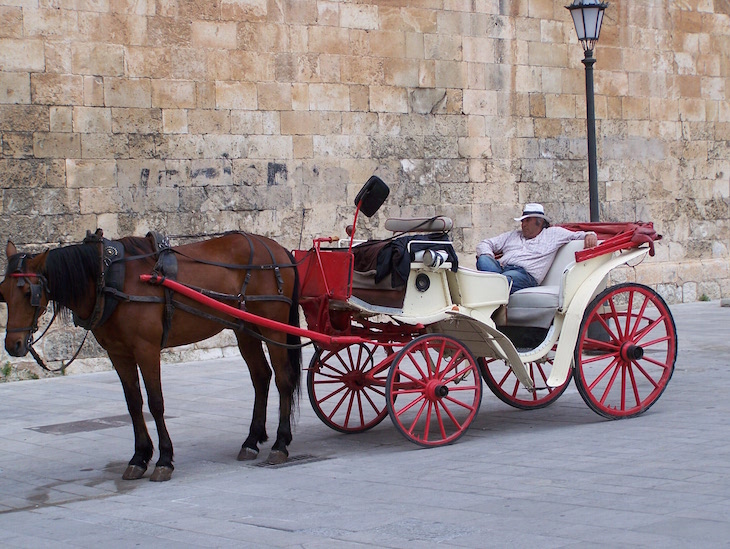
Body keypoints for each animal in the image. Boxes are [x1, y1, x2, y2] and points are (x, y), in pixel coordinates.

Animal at [0, 231, 302, 480]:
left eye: (28, 292)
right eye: (3, 292)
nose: (13, 344)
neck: (109, 278)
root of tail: (278, 249)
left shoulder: (146, 349)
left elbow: (156, 403)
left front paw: (164, 459)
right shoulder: (119, 354)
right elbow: (134, 403)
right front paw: (139, 456)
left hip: (273, 326)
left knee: (283, 379)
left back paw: (280, 443)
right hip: (246, 329)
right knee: (261, 377)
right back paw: (251, 441)